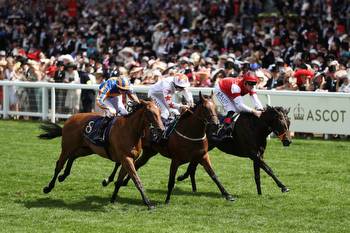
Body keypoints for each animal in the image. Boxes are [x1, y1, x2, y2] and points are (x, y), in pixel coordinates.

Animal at [104, 92, 235, 203]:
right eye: (205, 108)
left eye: (215, 107)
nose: (216, 124)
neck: (190, 132)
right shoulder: (176, 160)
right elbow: (171, 181)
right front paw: (167, 200)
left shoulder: (202, 156)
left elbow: (214, 175)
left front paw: (227, 195)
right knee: (120, 163)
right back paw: (108, 180)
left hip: (149, 152)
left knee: (136, 165)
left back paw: (124, 182)